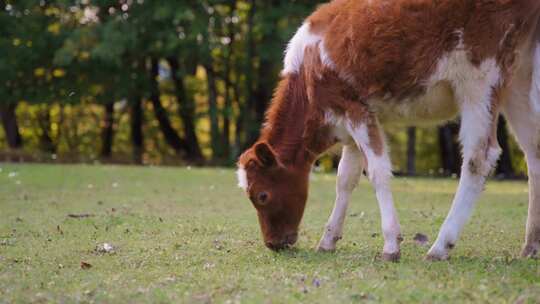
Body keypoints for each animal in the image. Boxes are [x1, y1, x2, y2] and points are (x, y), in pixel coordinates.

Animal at [238, 0, 540, 262]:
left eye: (262, 195)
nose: (273, 243)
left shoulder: (355, 109)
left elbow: (377, 172)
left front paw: (391, 245)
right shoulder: (351, 122)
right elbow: (345, 178)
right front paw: (328, 240)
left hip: (480, 79)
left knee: (479, 157)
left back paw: (440, 246)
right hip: (519, 82)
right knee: (533, 152)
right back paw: (530, 246)